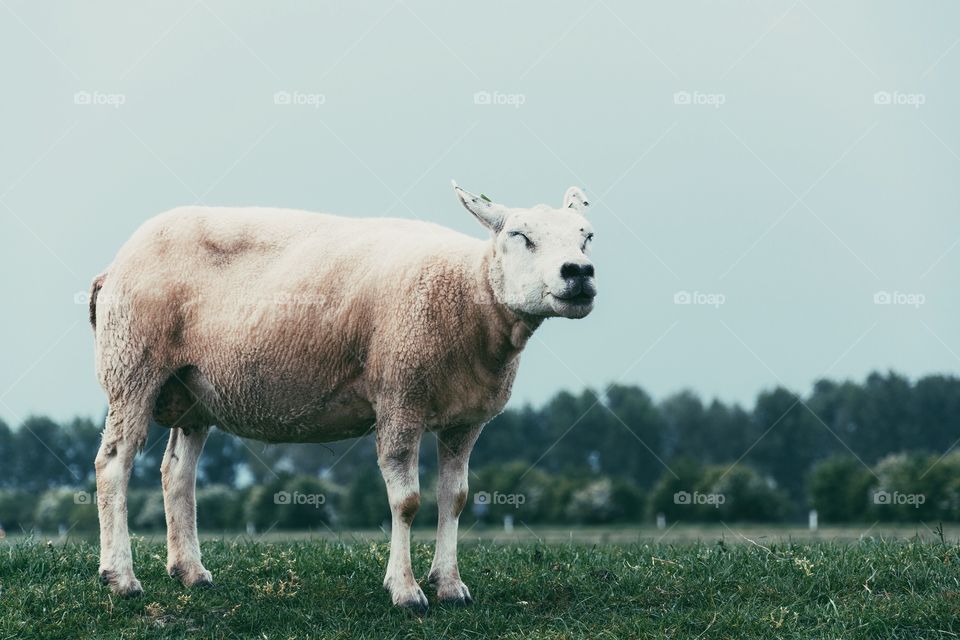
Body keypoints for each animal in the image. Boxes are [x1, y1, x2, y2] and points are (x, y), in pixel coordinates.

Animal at [88, 182, 597, 613]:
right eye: (519, 235)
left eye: (587, 236)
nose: (579, 272)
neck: (470, 291)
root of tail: (115, 265)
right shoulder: (399, 398)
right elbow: (407, 502)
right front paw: (406, 590)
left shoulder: (464, 420)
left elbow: (455, 498)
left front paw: (450, 585)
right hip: (132, 363)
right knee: (113, 463)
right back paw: (121, 577)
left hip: (193, 388)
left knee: (177, 473)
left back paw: (190, 571)